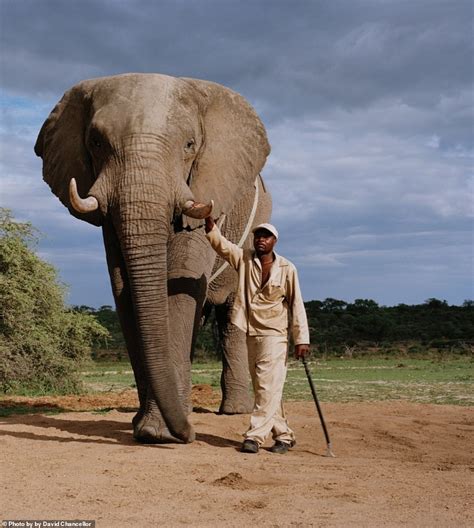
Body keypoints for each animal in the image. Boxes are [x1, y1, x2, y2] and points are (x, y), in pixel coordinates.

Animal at [35, 72, 272, 444]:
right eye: (96, 142)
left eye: (190, 144)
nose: (189, 435)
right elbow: (124, 289)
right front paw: (147, 428)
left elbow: (180, 281)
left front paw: (160, 433)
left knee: (230, 318)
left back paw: (233, 411)